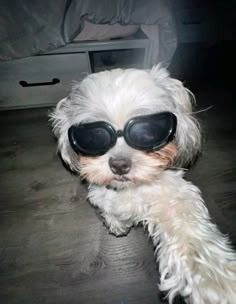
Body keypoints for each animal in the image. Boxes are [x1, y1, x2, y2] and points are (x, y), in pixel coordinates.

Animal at [50, 65, 236, 302]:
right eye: (93, 136)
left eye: (147, 132)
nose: (119, 165)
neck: (131, 189)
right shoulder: (103, 195)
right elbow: (111, 210)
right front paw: (117, 224)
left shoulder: (172, 196)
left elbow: (191, 241)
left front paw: (216, 281)